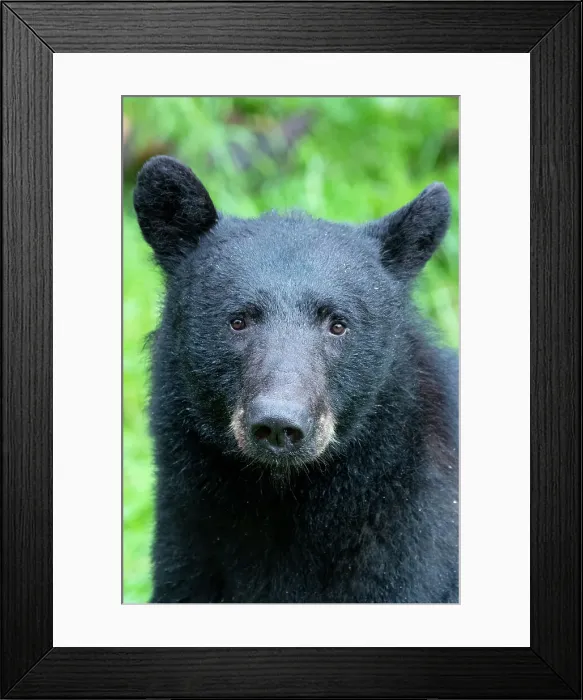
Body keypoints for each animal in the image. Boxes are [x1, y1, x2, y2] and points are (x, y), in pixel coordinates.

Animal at [133, 155, 459, 604]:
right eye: (238, 320)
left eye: (338, 324)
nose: (278, 424)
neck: (283, 497)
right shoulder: (191, 547)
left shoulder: (410, 551)